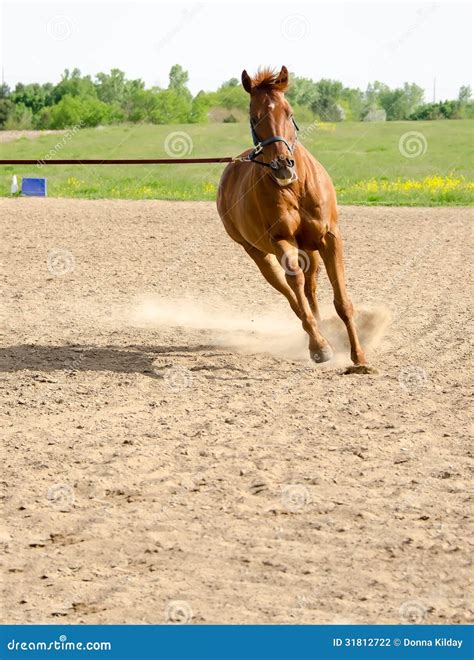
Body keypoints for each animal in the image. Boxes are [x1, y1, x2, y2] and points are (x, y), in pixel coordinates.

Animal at [217, 66, 372, 373]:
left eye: (288, 113)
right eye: (254, 117)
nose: (282, 165)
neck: (294, 188)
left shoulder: (330, 238)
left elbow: (342, 301)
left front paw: (358, 357)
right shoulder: (281, 241)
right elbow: (295, 286)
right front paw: (320, 347)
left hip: (310, 250)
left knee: (310, 288)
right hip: (257, 253)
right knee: (290, 292)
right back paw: (316, 337)